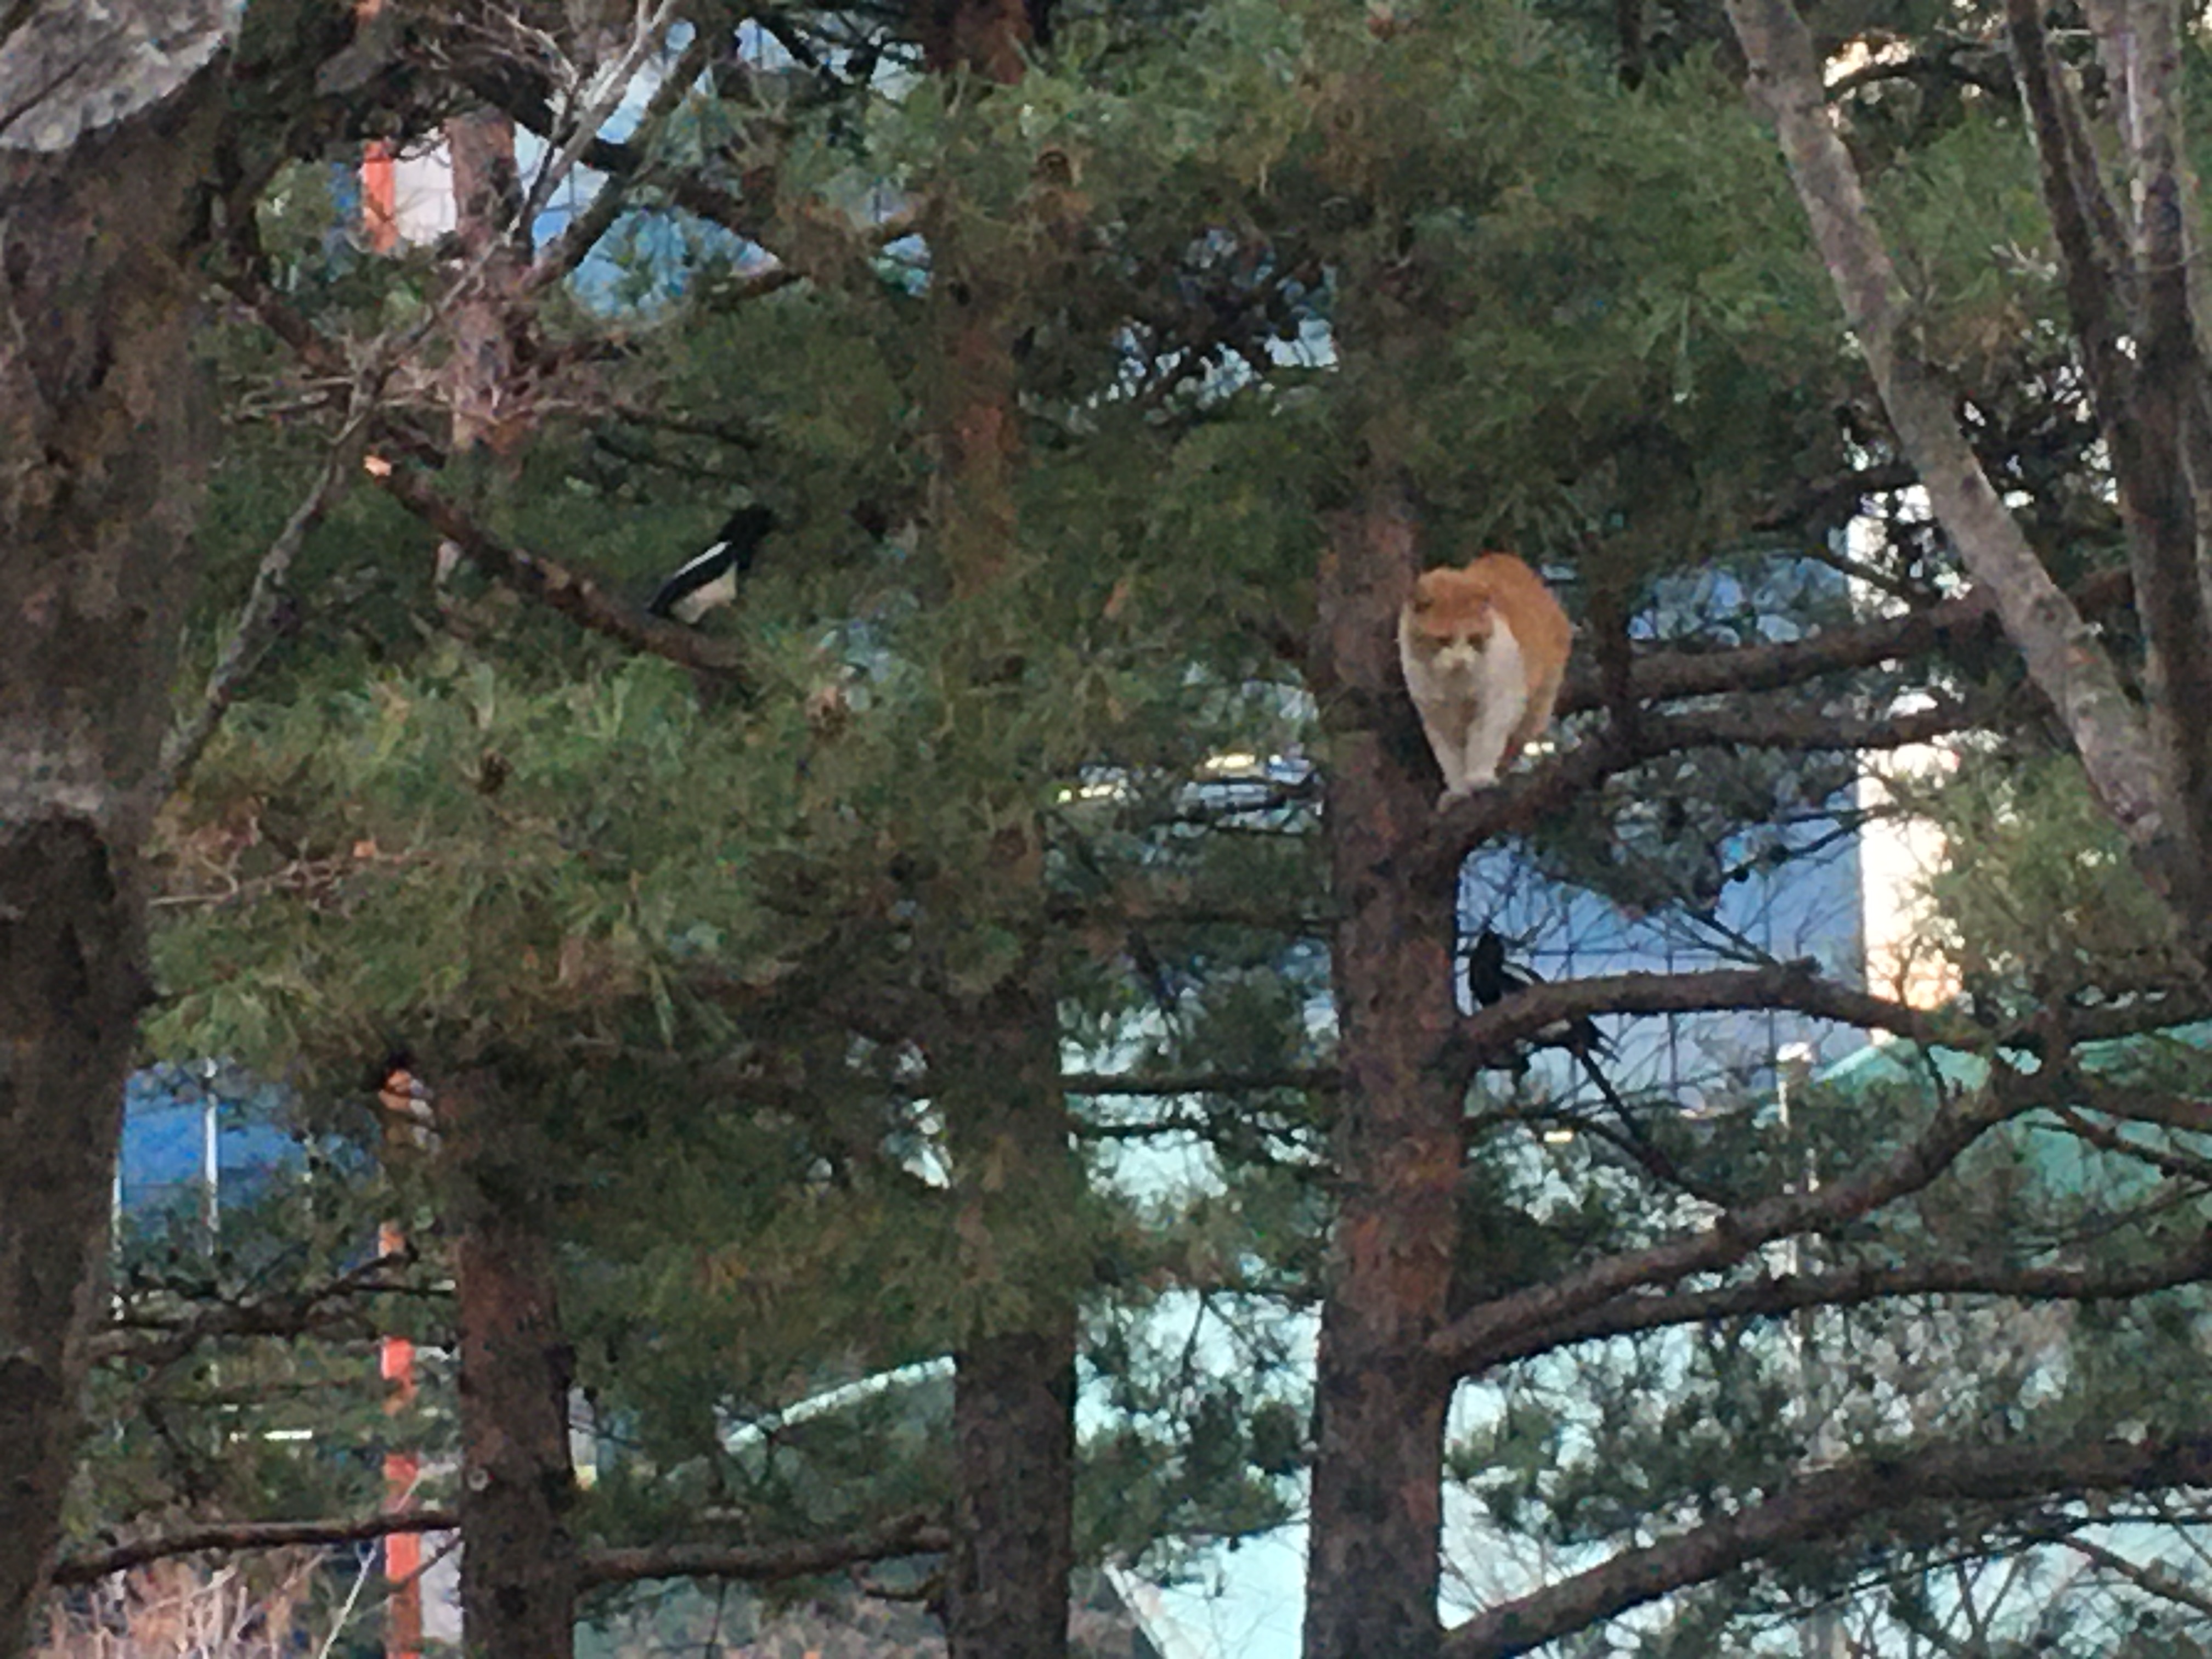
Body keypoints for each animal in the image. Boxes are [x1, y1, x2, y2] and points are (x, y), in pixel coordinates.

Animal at [1398, 555, 1575, 809]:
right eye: (1443, 640)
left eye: (1473, 639)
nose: (1460, 661)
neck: (1454, 686)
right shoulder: (1437, 716)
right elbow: (1449, 758)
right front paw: (1459, 790)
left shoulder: (1498, 703)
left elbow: (1484, 740)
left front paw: (1479, 777)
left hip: (1536, 704)